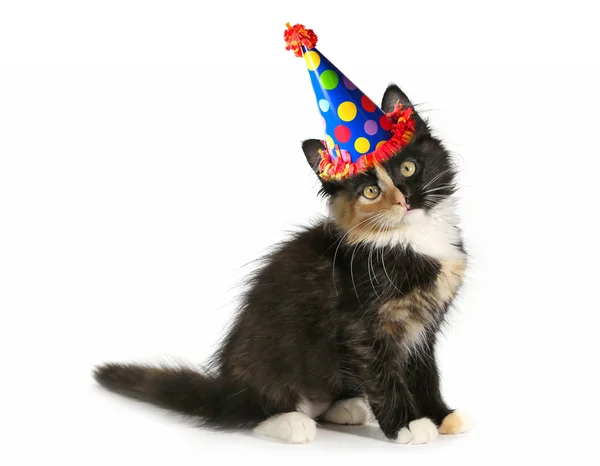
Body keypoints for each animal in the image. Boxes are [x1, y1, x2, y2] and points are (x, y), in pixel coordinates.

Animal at [94, 83, 468, 444]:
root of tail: (226, 390)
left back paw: (343, 407)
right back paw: (291, 423)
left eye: (408, 167)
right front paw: (408, 425)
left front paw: (440, 416)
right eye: (371, 192)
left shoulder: (424, 327)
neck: (411, 240)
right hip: (267, 364)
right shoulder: (362, 328)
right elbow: (383, 379)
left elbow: (424, 374)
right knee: (246, 416)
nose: (404, 199)